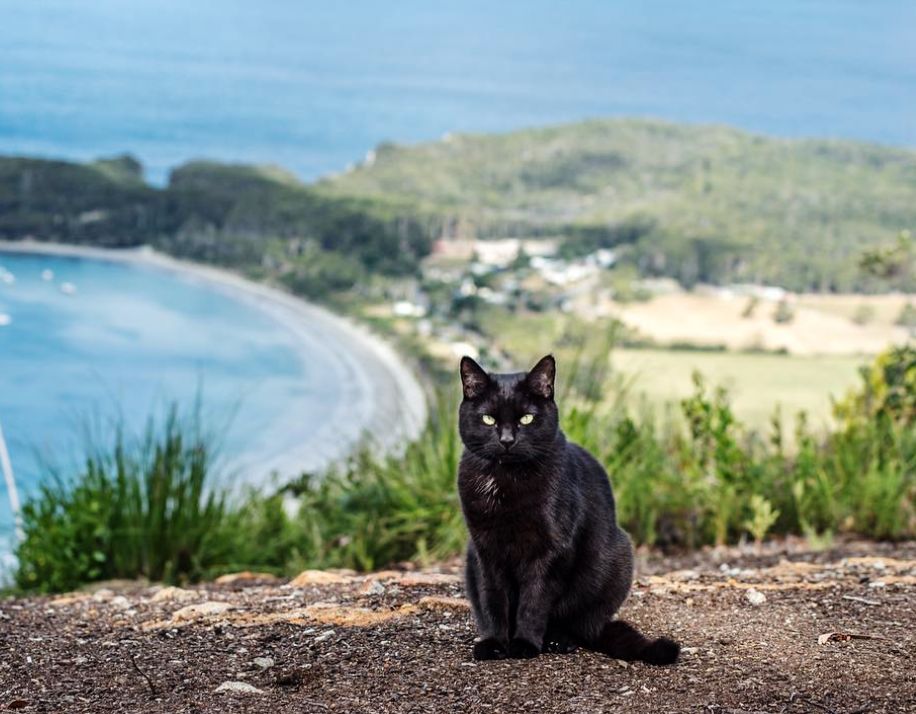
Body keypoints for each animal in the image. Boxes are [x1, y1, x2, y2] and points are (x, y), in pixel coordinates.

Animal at [458, 354, 680, 660]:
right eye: (488, 419)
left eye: (527, 418)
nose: (506, 440)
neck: (506, 481)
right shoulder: (485, 549)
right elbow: (492, 599)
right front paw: (493, 643)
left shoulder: (551, 549)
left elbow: (534, 601)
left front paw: (524, 644)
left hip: (617, 557)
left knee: (578, 626)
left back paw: (557, 641)